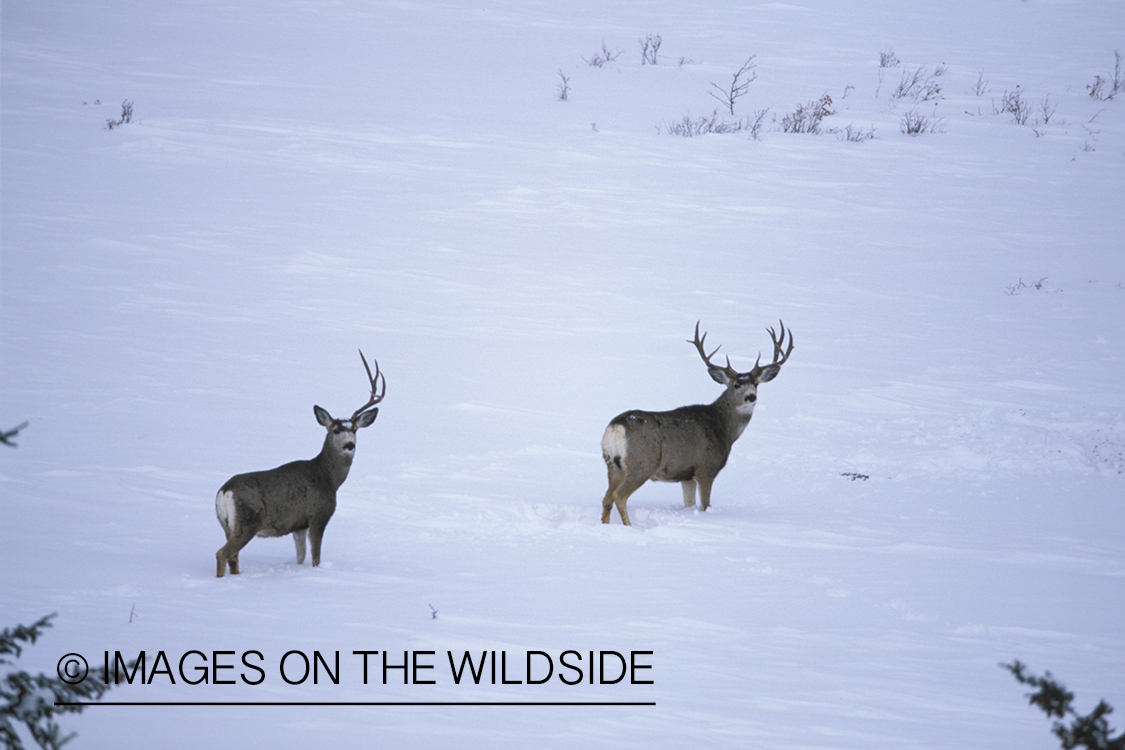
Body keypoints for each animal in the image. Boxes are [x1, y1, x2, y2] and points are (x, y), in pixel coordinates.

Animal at [215, 351, 385, 577]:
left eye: (355, 429)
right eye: (336, 430)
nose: (349, 445)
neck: (328, 479)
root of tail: (225, 491)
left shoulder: (298, 525)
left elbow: (300, 557)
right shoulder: (318, 514)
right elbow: (315, 557)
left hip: (227, 525)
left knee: (233, 557)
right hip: (247, 521)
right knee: (222, 554)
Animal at [601, 321, 793, 526]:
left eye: (756, 384)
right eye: (736, 385)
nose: (751, 397)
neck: (723, 430)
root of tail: (615, 427)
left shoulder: (686, 475)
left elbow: (689, 504)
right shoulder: (706, 467)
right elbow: (705, 505)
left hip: (613, 464)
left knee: (607, 498)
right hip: (642, 463)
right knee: (619, 495)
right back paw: (629, 526)